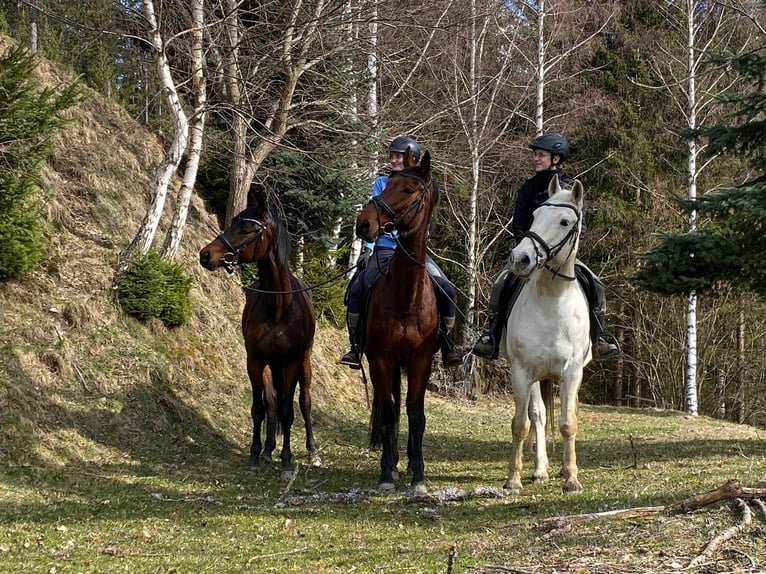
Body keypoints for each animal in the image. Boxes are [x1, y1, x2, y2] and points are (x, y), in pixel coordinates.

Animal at [200, 196, 320, 480]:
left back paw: (312, 451)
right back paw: (268, 449)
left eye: (246, 229)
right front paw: (256, 454)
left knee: (304, 402)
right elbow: (260, 408)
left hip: (304, 364)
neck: (278, 305)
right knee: (272, 401)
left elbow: (289, 412)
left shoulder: (291, 363)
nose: (206, 254)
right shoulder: (255, 361)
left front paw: (287, 460)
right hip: (271, 366)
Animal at [504, 176, 592, 496]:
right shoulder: (522, 371)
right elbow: (521, 424)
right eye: (534, 215)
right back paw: (540, 469)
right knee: (538, 416)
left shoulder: (572, 372)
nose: (521, 258)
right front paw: (513, 479)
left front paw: (571, 478)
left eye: (565, 221)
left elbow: (568, 423)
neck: (552, 300)